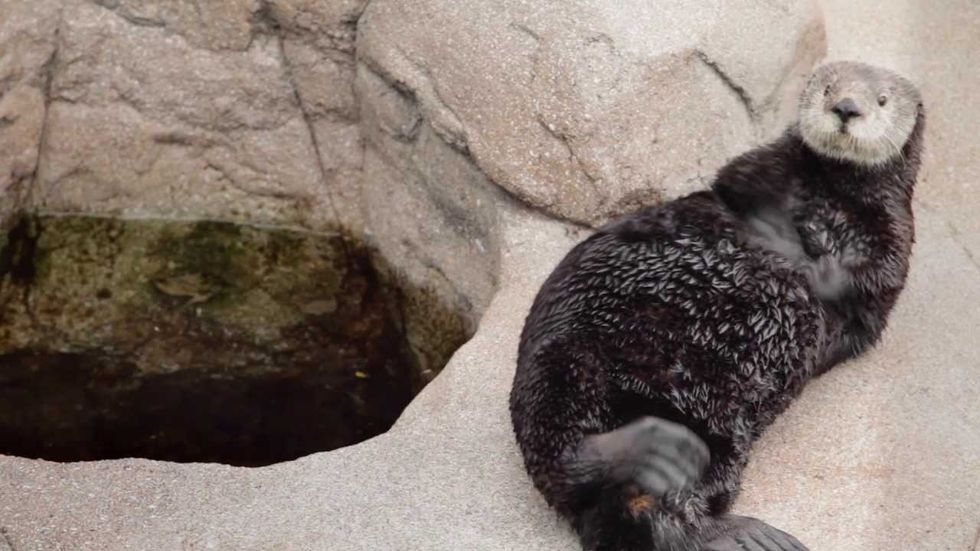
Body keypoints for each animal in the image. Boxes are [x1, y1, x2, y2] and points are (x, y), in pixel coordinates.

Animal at [510, 61, 924, 551]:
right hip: (565, 362)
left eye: (882, 99)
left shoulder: (892, 239)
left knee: (679, 516)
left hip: (723, 437)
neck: (833, 192)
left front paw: (817, 260)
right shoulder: (757, 168)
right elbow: (741, 189)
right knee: (564, 454)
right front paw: (787, 236)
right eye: (827, 89)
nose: (846, 108)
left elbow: (867, 283)